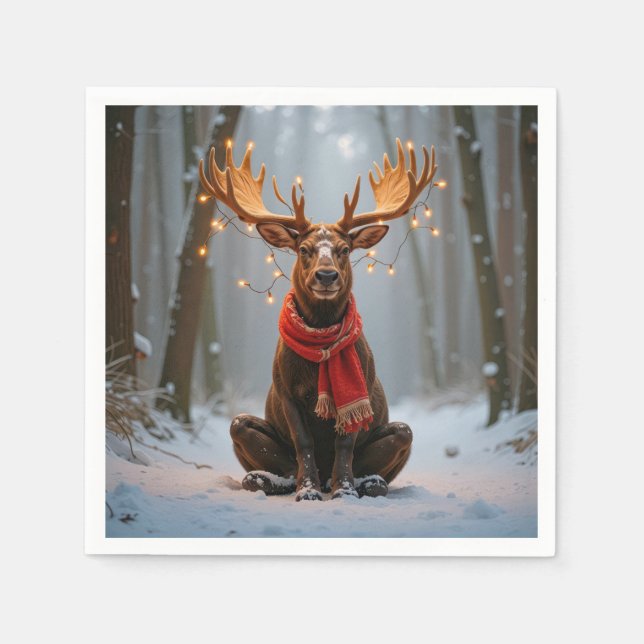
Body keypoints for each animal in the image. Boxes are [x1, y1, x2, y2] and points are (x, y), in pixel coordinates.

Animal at [199, 138, 437, 500]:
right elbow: (304, 441)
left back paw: (366, 482)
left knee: (399, 438)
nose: (326, 276)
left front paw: (344, 490)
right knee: (247, 434)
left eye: (344, 249)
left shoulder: (360, 387)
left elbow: (344, 442)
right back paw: (271, 479)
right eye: (303, 249)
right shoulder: (284, 387)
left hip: (402, 432)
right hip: (241, 425)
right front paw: (307, 490)